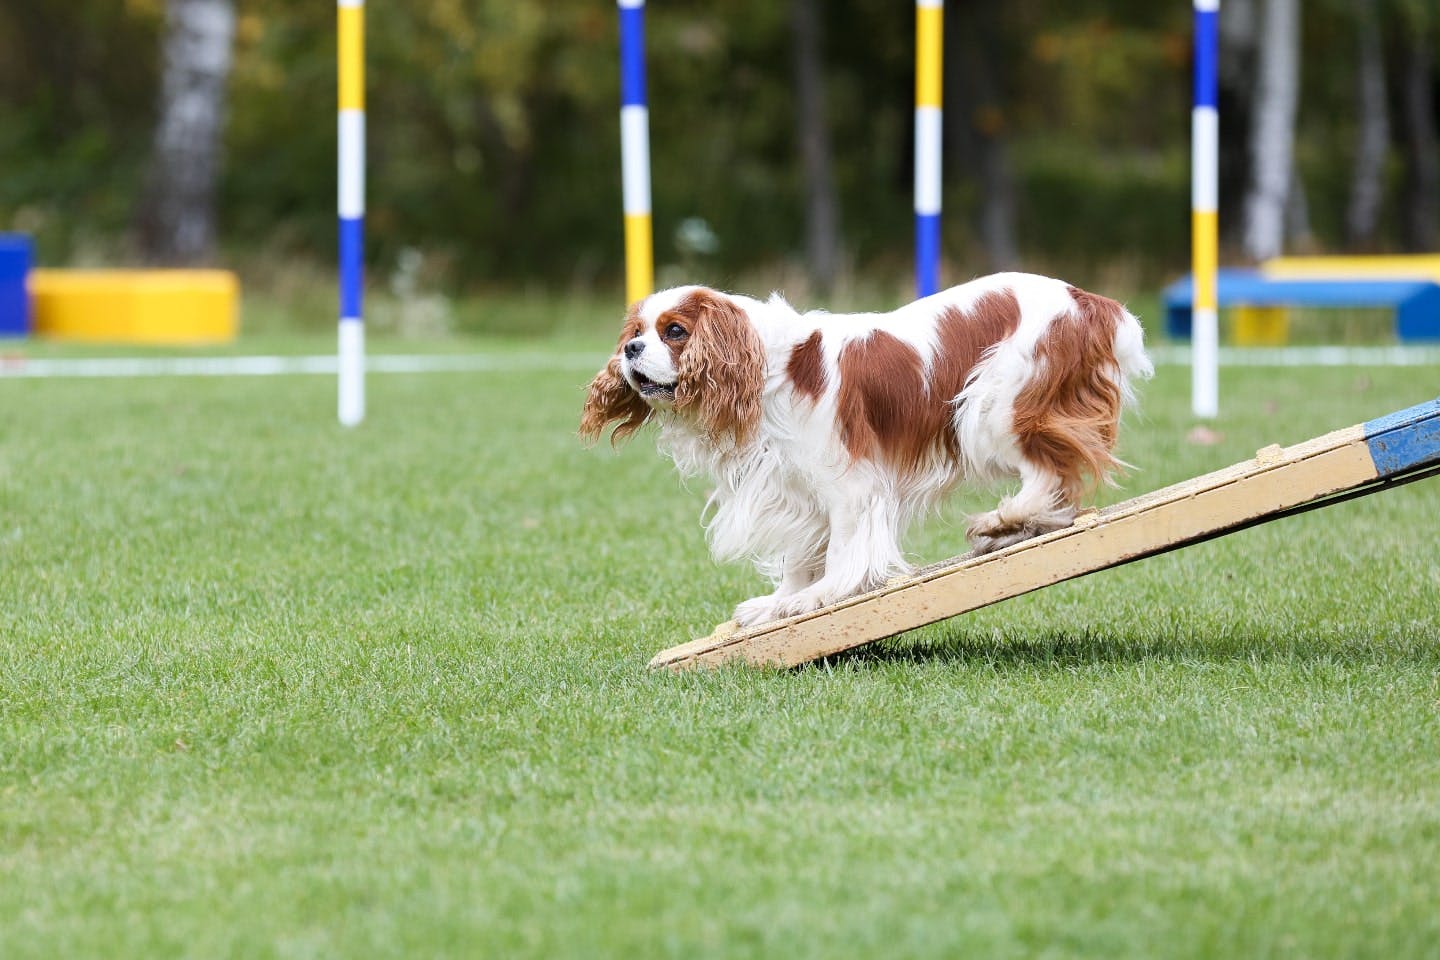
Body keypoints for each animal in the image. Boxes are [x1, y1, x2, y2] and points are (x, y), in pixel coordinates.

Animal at [578, 273, 1152, 627]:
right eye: (635, 332)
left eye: (674, 332)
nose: (631, 349)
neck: (768, 370)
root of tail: (1091, 301)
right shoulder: (795, 491)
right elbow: (799, 559)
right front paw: (779, 603)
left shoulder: (848, 483)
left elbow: (842, 552)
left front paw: (821, 597)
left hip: (991, 405)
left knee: (1049, 469)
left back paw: (1003, 518)